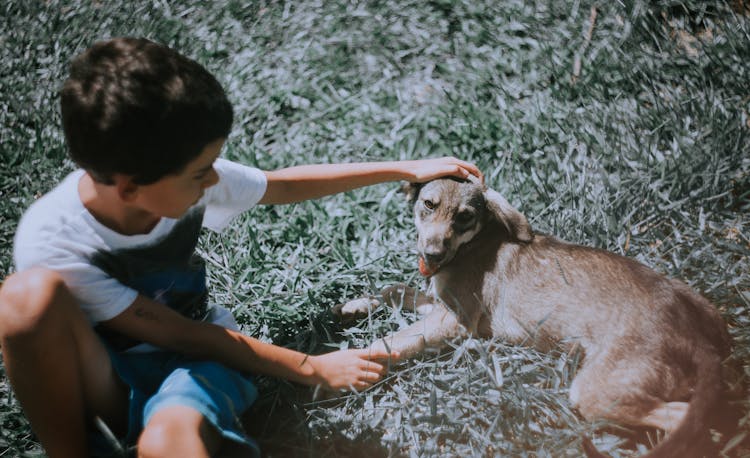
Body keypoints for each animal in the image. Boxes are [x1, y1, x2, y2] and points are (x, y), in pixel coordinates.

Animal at [340, 178, 740, 458]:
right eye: (428, 205)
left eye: (465, 217)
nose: (432, 254)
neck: (473, 245)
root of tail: (695, 338)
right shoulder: (439, 307)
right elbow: (394, 290)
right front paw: (355, 304)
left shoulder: (453, 321)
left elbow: (388, 341)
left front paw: (351, 365)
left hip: (596, 391)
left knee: (690, 420)